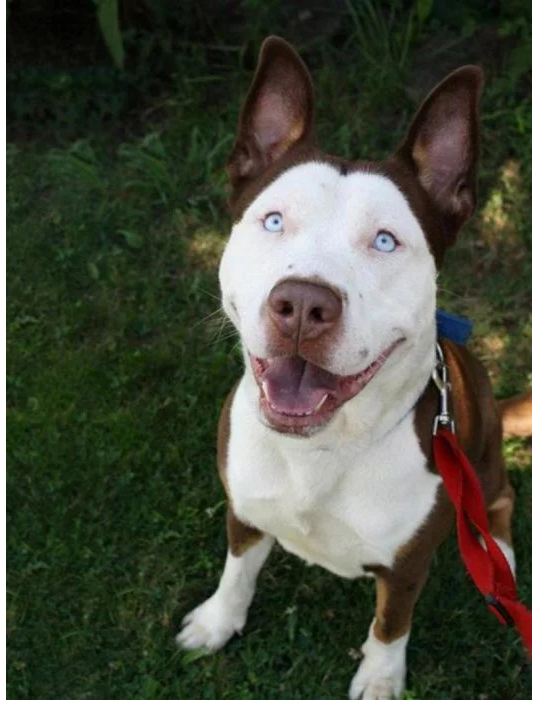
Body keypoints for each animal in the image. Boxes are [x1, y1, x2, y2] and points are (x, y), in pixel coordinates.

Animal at [177, 38, 528, 700]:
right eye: (274, 220)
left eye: (386, 241)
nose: (302, 305)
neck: (323, 449)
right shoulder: (244, 510)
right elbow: (237, 571)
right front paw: (217, 621)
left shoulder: (408, 565)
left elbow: (391, 623)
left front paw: (380, 679)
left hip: (485, 455)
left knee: (499, 502)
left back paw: (501, 561)